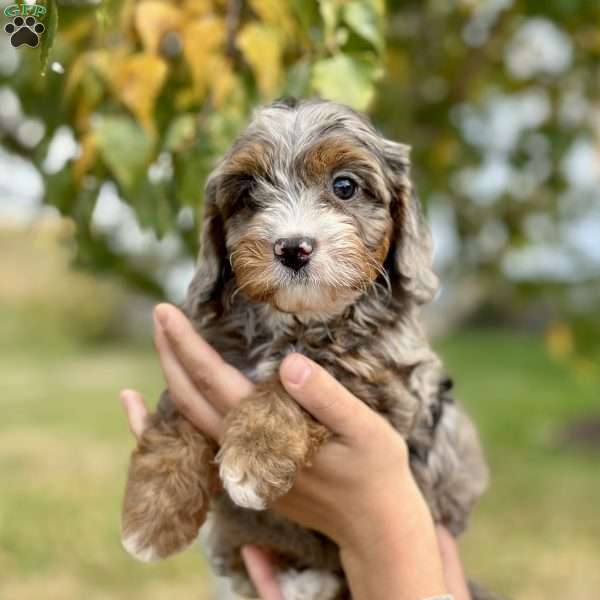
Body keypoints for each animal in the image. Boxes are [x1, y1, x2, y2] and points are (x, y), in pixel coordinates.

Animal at [120, 99, 488, 600]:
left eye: (344, 186)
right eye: (248, 195)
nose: (293, 248)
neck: (297, 321)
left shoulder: (391, 380)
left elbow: (311, 373)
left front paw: (254, 455)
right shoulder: (209, 352)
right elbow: (176, 419)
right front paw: (152, 513)